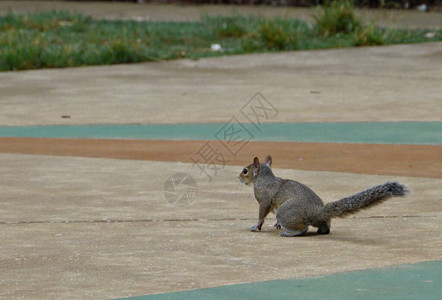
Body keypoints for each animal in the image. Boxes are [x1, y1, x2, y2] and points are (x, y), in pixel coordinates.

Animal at [240, 155, 410, 237]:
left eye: (245, 171)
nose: (239, 177)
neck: (264, 178)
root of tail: (316, 211)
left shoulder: (263, 198)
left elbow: (262, 213)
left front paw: (257, 225)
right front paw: (273, 225)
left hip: (285, 212)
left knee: (303, 228)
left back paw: (290, 233)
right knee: (325, 227)